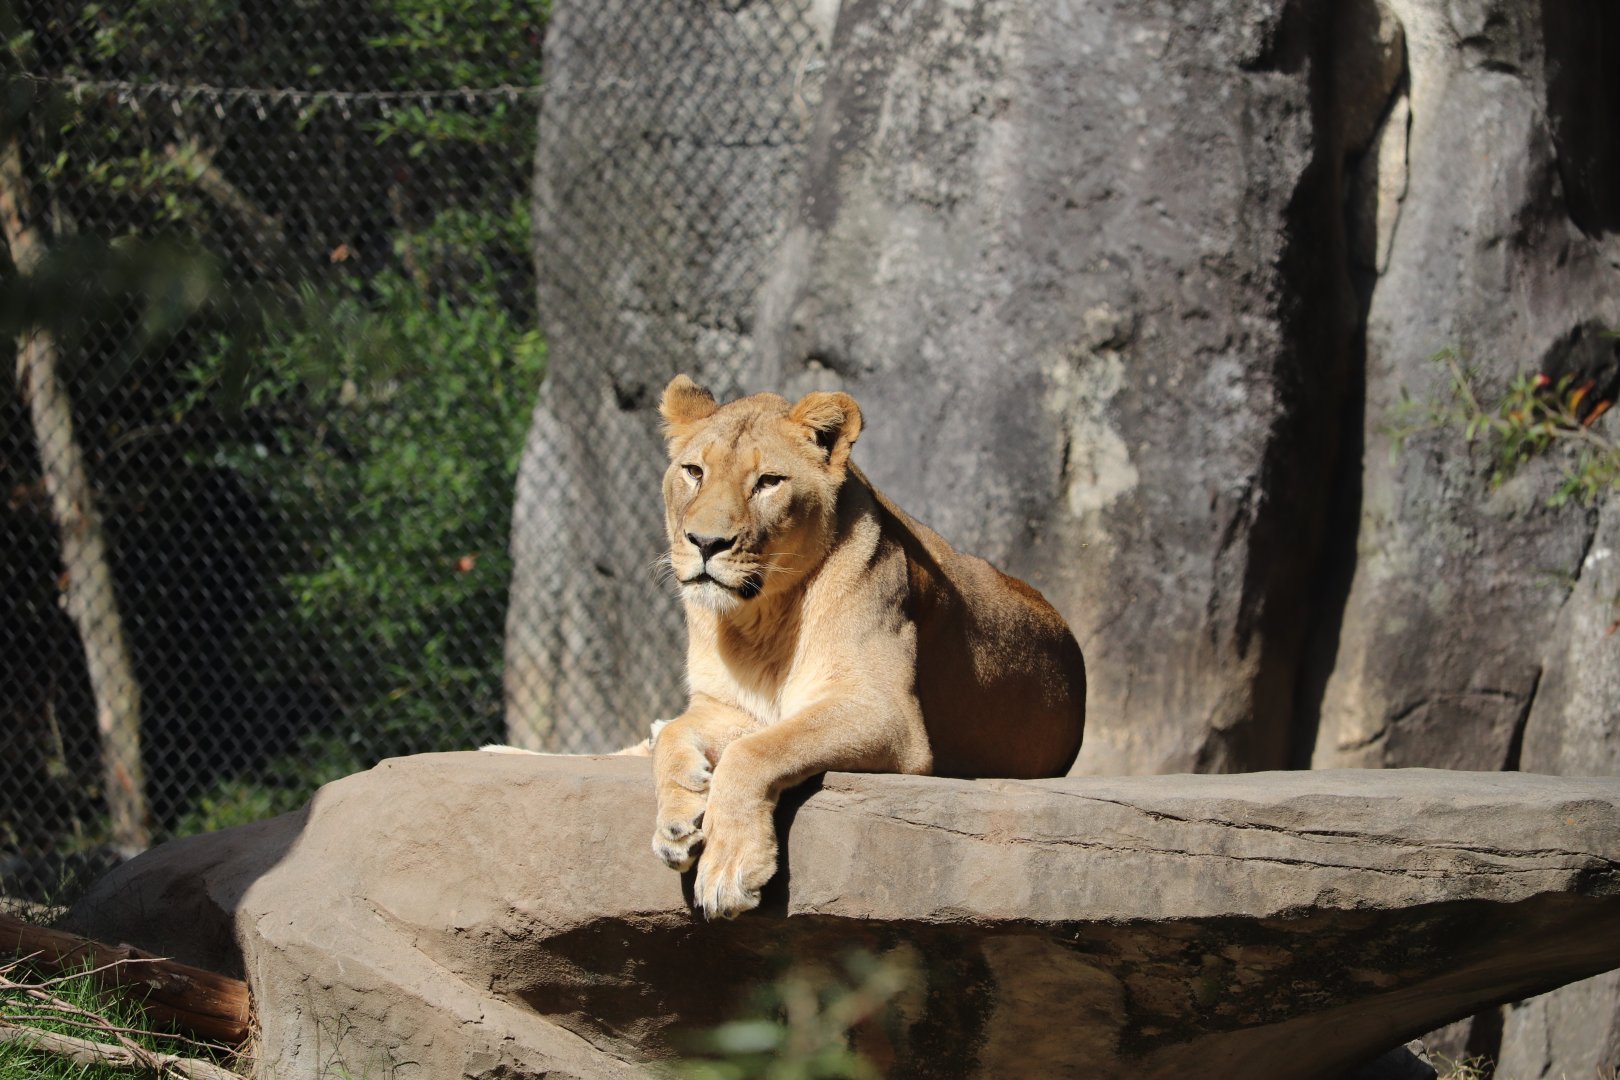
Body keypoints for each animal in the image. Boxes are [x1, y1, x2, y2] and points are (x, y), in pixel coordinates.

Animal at [652, 374, 1086, 919]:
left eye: (768, 481)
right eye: (693, 471)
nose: (706, 543)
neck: (759, 622)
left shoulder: (887, 715)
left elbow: (753, 751)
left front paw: (728, 870)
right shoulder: (730, 706)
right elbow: (675, 734)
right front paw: (676, 823)